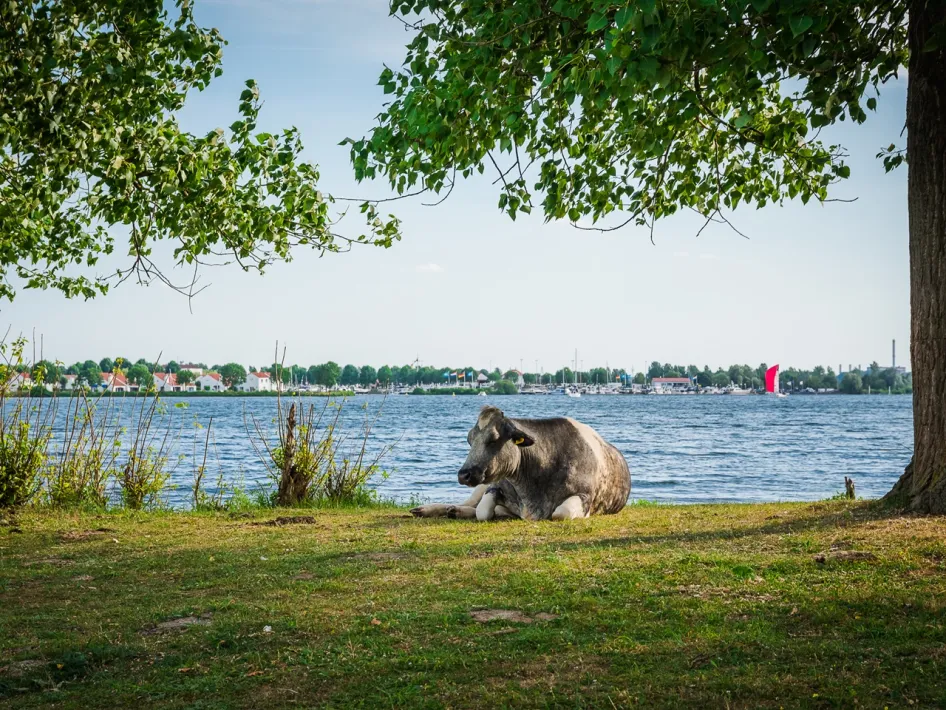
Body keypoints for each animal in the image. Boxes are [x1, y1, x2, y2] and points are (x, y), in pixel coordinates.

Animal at [410, 406, 631, 521]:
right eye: (470, 440)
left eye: (493, 439)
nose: (464, 474)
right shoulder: (493, 486)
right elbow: (483, 511)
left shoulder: (585, 496)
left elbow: (561, 513)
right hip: (480, 487)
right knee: (469, 504)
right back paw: (430, 509)